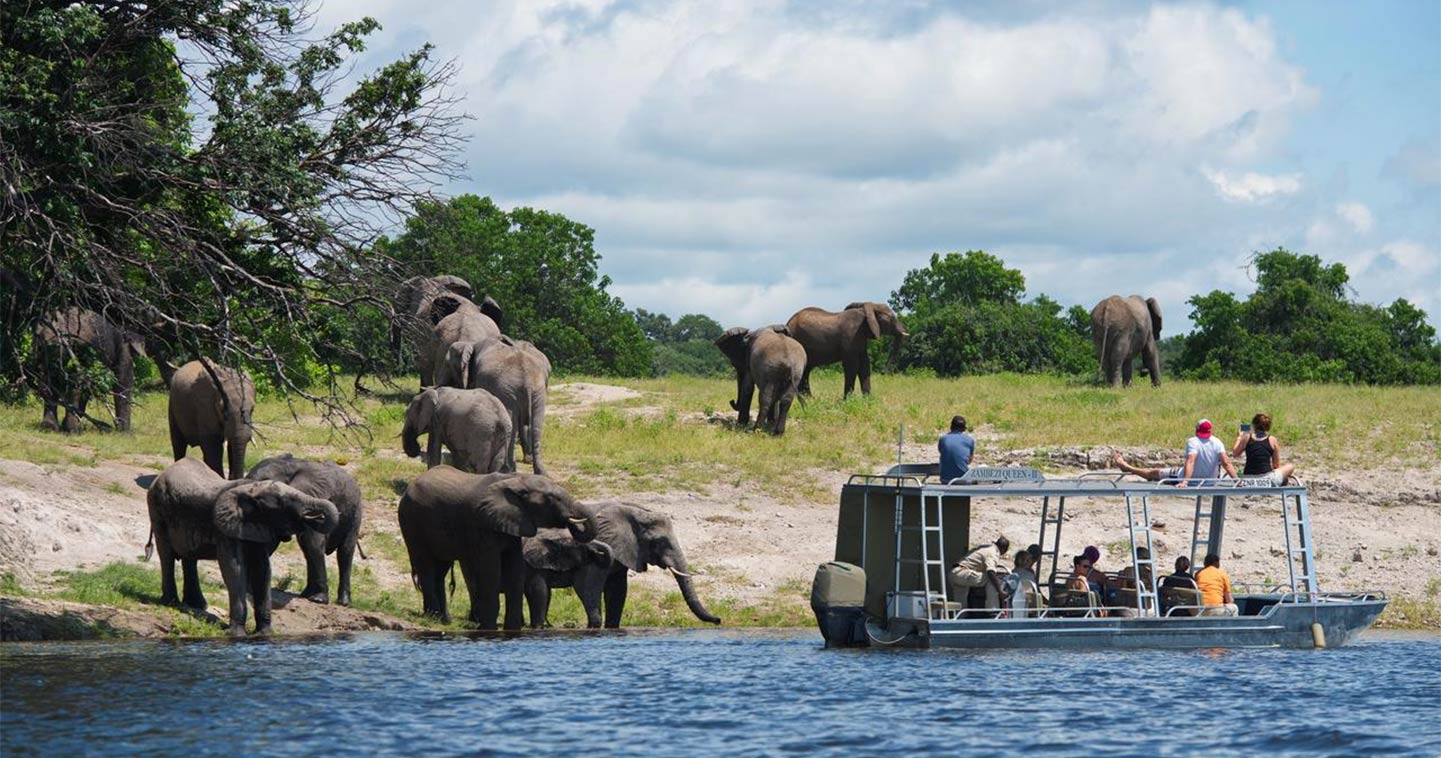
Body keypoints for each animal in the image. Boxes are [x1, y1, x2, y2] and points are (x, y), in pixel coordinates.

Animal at [146, 455, 340, 639]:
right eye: (283, 503)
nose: (314, 515)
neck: (251, 489)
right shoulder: (226, 528)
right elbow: (234, 568)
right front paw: (236, 635)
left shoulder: (256, 528)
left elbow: (262, 570)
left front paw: (264, 634)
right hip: (157, 508)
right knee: (167, 556)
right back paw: (171, 603)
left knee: (189, 558)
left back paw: (197, 604)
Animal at [246, 455, 363, 608]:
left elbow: (315, 543)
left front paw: (319, 600)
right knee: (307, 550)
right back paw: (305, 595)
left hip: (355, 512)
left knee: (344, 551)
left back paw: (342, 602)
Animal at [394, 466, 596, 634]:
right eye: (554, 499)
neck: (516, 481)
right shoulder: (483, 524)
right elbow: (491, 570)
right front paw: (489, 629)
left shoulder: (513, 523)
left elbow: (515, 568)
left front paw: (512, 631)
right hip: (411, 521)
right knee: (426, 566)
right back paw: (433, 617)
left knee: (440, 569)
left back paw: (443, 620)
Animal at [440, 337, 547, 475]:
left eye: (448, 365)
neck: (471, 343)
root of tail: (527, 380)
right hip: (538, 392)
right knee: (536, 425)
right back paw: (540, 472)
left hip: (506, 391)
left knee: (511, 423)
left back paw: (508, 470)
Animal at [521, 504, 720, 631]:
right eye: (660, 542)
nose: (719, 620)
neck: (635, 513)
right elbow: (586, 586)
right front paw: (594, 628)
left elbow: (617, 590)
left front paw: (612, 629)